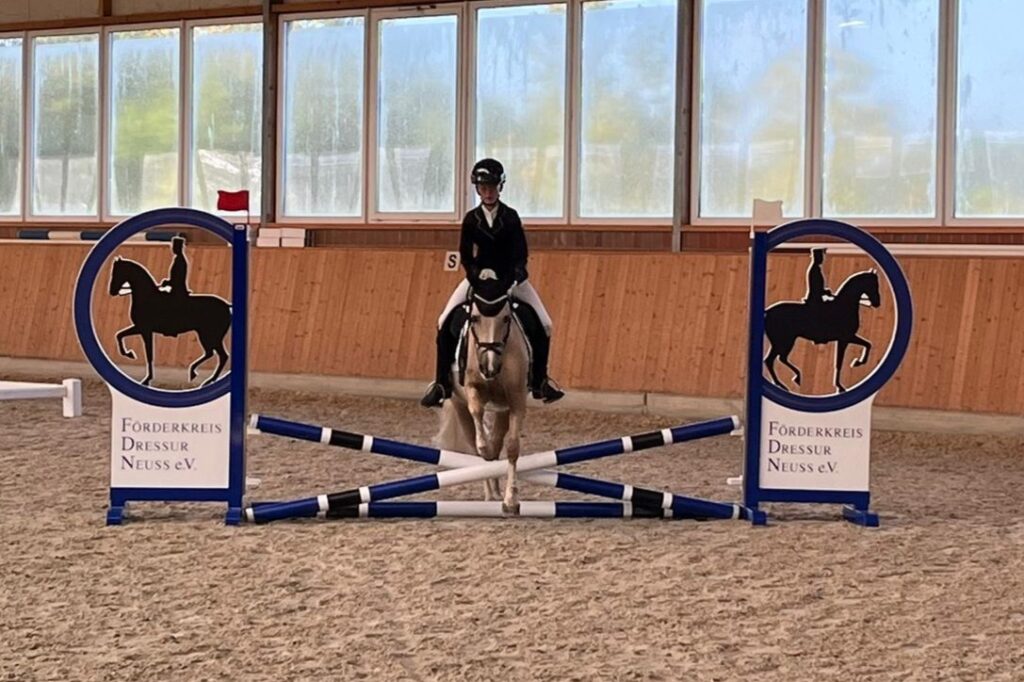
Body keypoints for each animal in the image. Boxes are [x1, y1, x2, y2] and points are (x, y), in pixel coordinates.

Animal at [110, 254, 234, 385]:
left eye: (116, 272)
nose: (112, 291)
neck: (147, 298)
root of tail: (226, 305)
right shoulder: (140, 328)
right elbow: (119, 335)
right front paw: (129, 354)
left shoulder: (145, 330)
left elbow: (149, 354)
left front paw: (146, 379)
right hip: (208, 335)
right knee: (214, 354)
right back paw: (199, 376)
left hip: (210, 336)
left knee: (219, 355)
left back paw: (204, 378)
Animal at [432, 278, 528, 509]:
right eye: (474, 318)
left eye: (506, 318)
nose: (489, 366)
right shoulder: (472, 388)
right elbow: (477, 412)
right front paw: (483, 447)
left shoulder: (516, 400)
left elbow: (512, 448)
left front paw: (511, 499)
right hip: (459, 406)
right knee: (477, 450)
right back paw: (489, 492)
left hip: (502, 410)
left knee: (497, 445)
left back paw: (496, 491)